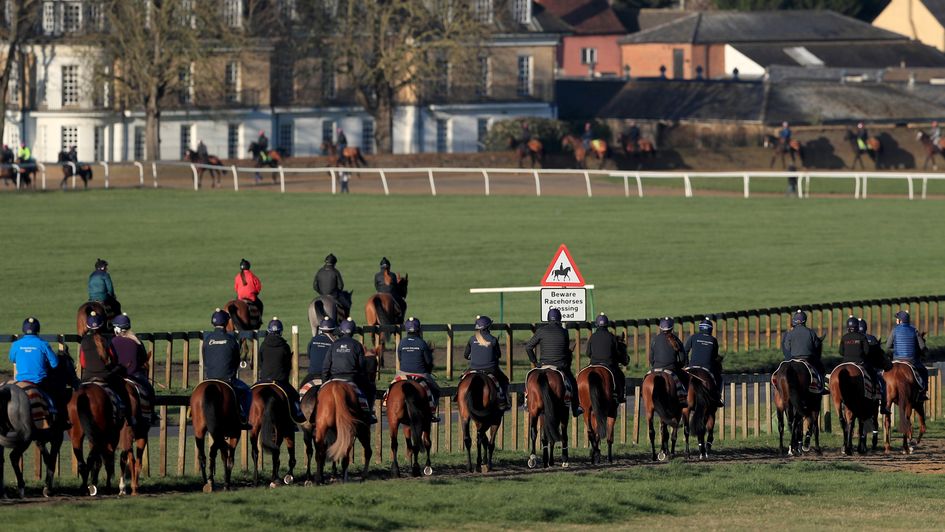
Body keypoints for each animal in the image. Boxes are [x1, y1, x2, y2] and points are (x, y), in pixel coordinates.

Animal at [0, 352, 76, 498]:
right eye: (72, 364)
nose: (77, 382)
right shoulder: (57, 437)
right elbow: (51, 460)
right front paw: (48, 489)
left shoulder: (40, 440)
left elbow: (47, 459)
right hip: (25, 438)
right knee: (14, 457)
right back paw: (21, 487)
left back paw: (4, 492)